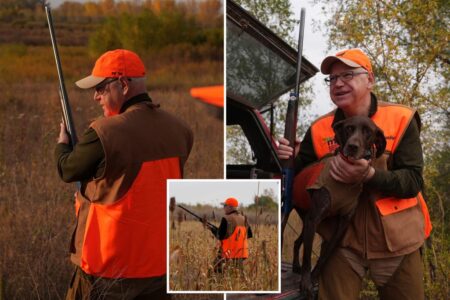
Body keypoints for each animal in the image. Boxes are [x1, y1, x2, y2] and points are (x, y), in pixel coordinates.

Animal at [292, 115, 386, 298]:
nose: (352, 147)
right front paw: (306, 283)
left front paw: (314, 278)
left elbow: (325, 255)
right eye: (349, 128)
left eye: (368, 132)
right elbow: (307, 256)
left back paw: (295, 266)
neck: (345, 182)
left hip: (305, 219)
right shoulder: (314, 219)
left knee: (297, 241)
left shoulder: (342, 224)